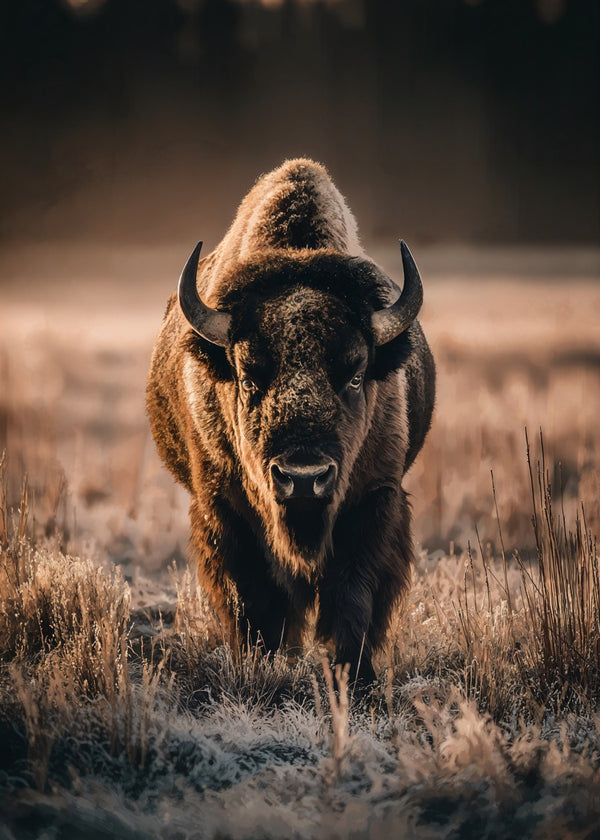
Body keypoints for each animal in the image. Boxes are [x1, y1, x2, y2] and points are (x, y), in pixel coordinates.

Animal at [147, 159, 435, 683]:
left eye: (356, 374)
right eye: (246, 377)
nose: (303, 477)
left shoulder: (374, 500)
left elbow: (354, 592)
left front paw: (354, 674)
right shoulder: (223, 506)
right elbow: (250, 597)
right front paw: (259, 663)